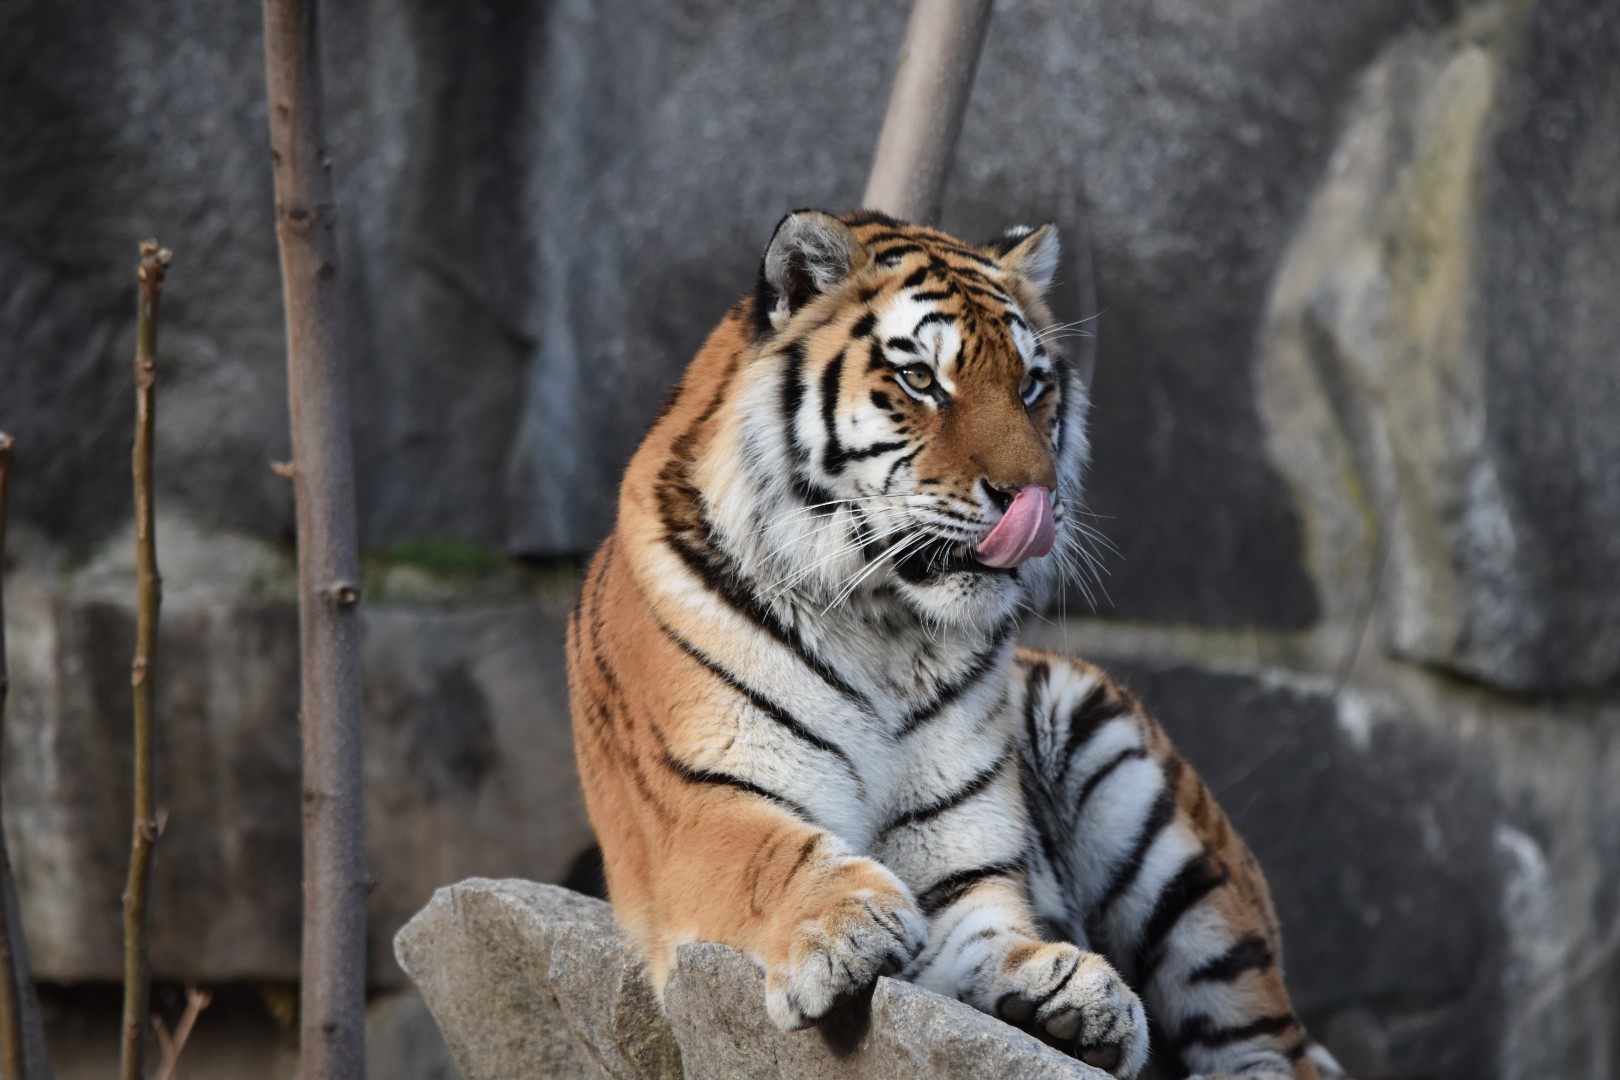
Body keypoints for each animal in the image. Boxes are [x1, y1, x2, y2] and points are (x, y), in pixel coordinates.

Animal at [566, 209, 1345, 1080]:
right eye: (920, 380)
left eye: (1032, 385)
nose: (1034, 497)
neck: (880, 625)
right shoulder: (698, 801)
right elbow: (772, 852)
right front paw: (851, 924)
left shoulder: (963, 858)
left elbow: (991, 929)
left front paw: (1061, 990)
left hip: (1153, 816)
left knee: (1266, 1045)